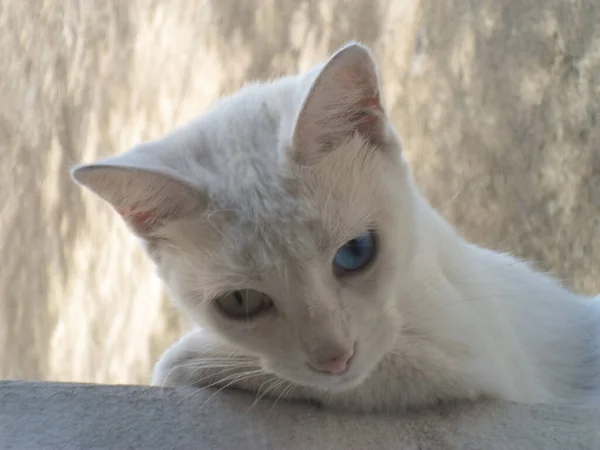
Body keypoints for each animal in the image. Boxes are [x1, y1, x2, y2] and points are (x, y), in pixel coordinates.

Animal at [71, 44, 600, 414]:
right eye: (241, 301)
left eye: (356, 252)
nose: (335, 359)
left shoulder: (478, 361)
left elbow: (379, 374)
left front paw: (191, 358)